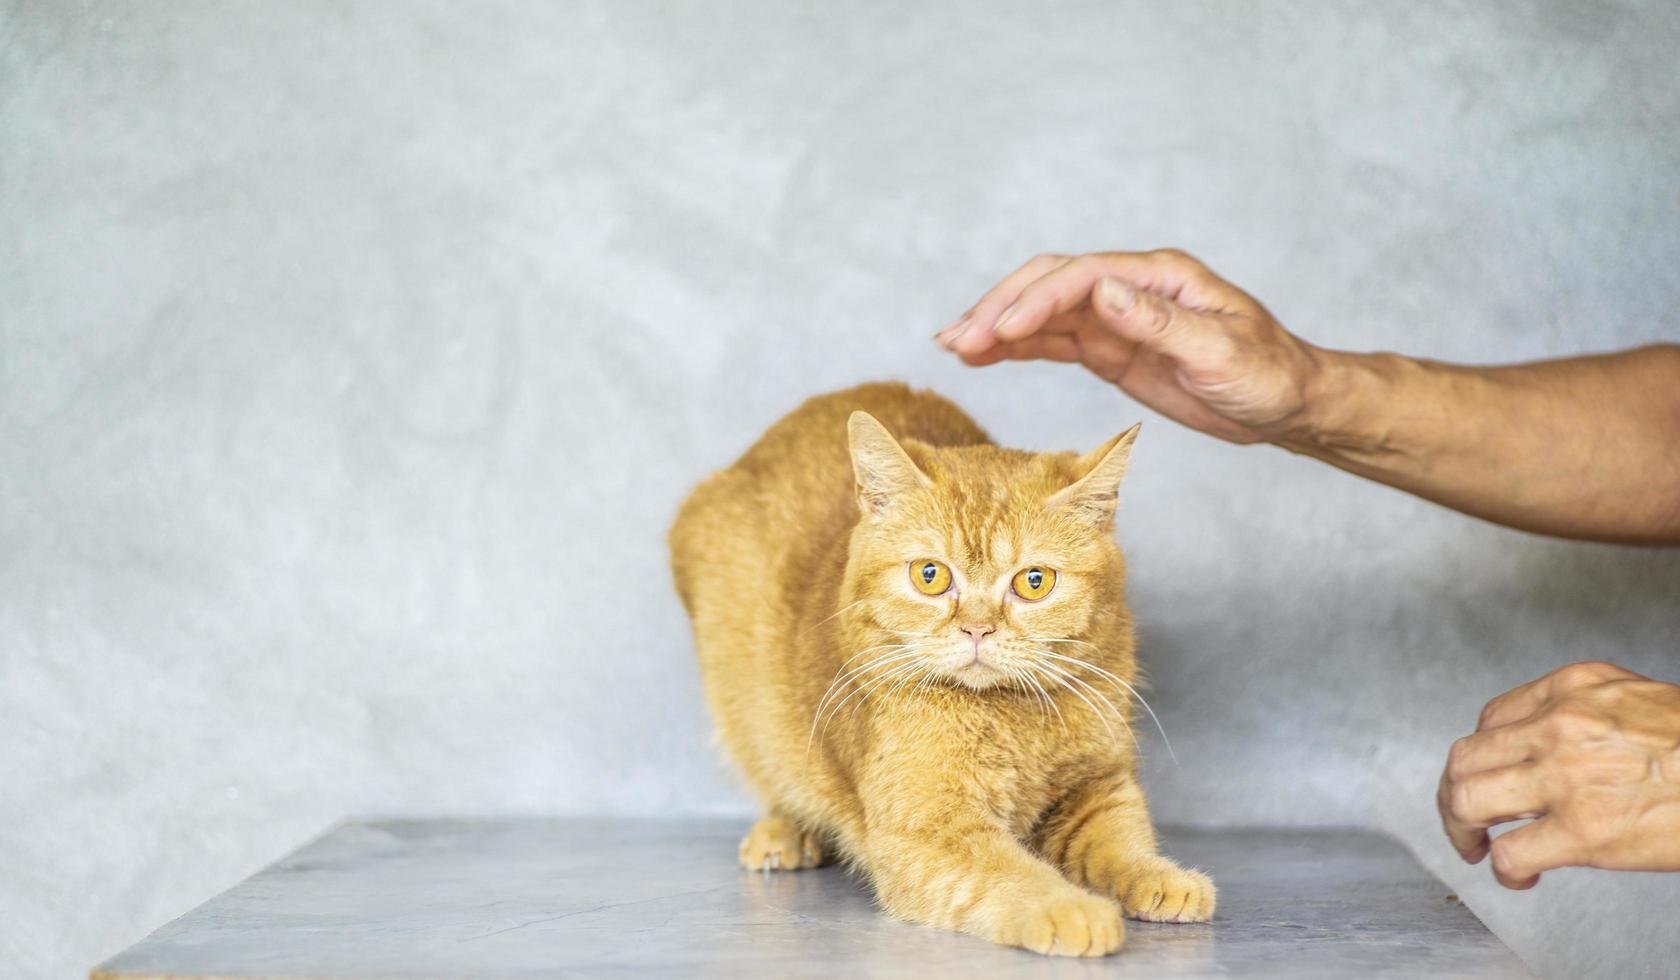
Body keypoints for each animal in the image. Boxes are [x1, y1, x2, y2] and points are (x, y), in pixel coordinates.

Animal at [668, 383, 1209, 961]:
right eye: (930, 575)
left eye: (1034, 581)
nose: (977, 628)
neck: (1010, 719)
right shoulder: (929, 828)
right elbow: (1011, 875)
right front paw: (1070, 909)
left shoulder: (1097, 786)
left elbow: (1123, 843)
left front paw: (1164, 878)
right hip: (746, 700)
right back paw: (783, 833)